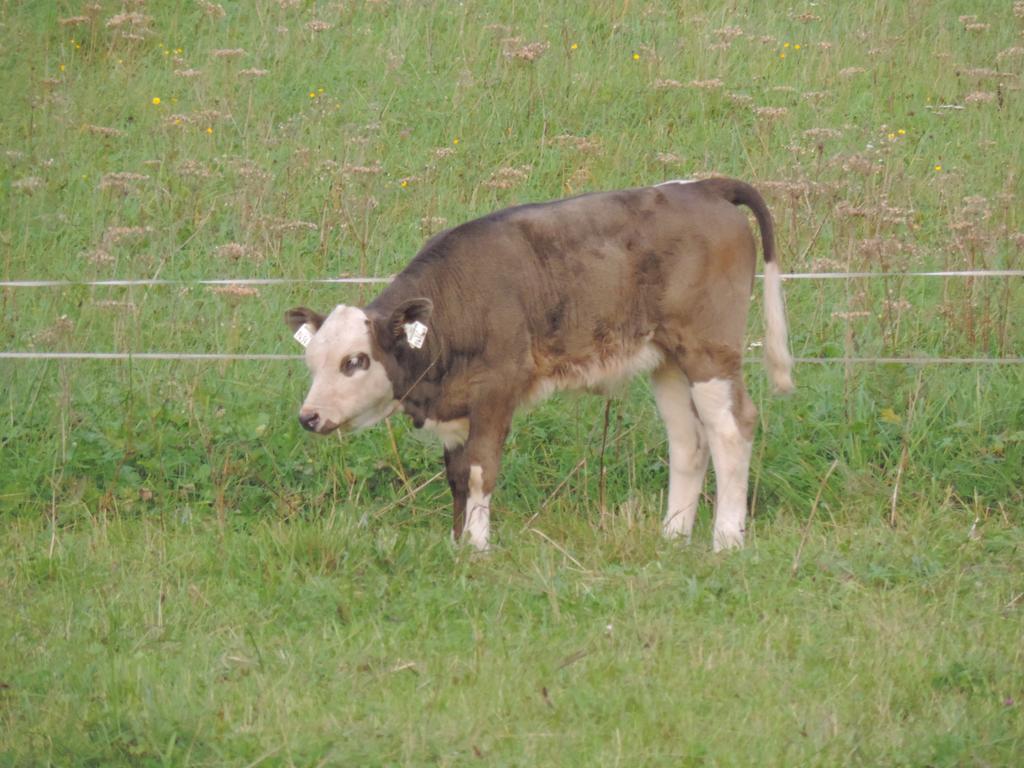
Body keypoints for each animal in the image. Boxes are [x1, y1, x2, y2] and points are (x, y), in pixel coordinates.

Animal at [284, 179, 794, 552]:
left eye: (355, 361)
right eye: (311, 360)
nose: (308, 417)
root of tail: (703, 186)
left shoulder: (497, 387)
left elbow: (479, 469)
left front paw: (478, 546)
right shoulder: (458, 404)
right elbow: (456, 475)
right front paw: (456, 543)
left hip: (709, 348)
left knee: (732, 427)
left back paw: (726, 540)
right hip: (666, 358)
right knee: (689, 440)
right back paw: (672, 535)